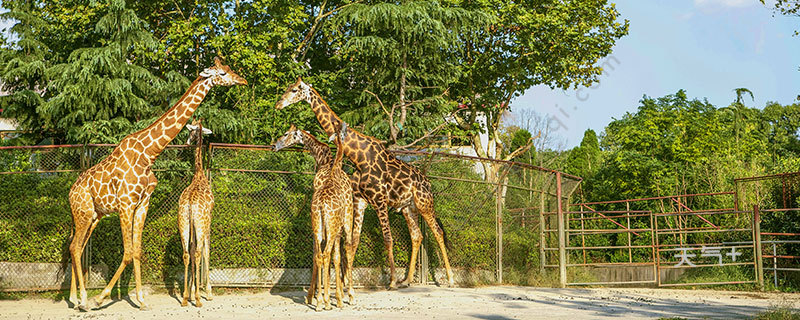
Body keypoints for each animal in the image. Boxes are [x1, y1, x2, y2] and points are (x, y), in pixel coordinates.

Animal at [67, 57, 245, 310]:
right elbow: (128, 252)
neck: (149, 154)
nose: (243, 80)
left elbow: (137, 251)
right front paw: (101, 297)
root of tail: (71, 192)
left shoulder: (142, 204)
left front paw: (141, 300)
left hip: (93, 215)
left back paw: (74, 298)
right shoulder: (126, 204)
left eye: (229, 69)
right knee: (75, 247)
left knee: (78, 247)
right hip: (82, 212)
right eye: (222, 73)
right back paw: (83, 300)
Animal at [274, 123, 354, 308]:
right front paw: (330, 295)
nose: (274, 145)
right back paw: (334, 297)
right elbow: (334, 256)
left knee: (324, 254)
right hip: (336, 223)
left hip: (325, 224)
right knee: (338, 251)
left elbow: (325, 256)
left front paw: (319, 295)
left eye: (286, 134)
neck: (326, 162)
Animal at [276, 77, 454, 288]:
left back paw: (450, 278)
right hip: (407, 207)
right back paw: (408, 279)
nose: (278, 104)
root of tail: (428, 182)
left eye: (294, 90)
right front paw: (346, 281)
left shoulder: (379, 200)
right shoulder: (361, 201)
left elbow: (387, 239)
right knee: (416, 235)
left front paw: (391, 281)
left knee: (437, 232)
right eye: (288, 88)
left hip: (424, 203)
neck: (358, 157)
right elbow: (354, 241)